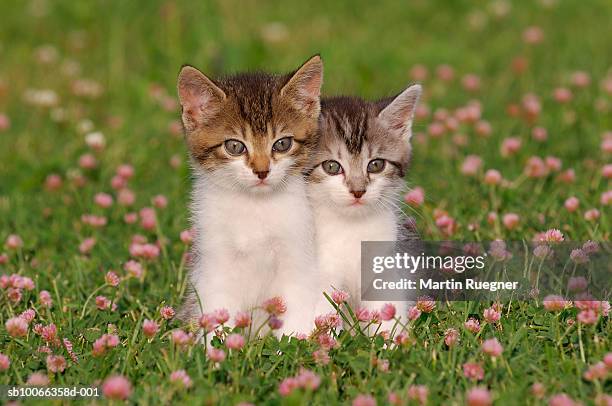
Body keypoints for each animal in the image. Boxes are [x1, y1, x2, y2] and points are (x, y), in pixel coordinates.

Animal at [177, 56, 326, 336]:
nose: (262, 171)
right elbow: (217, 309)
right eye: (235, 146)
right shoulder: (214, 263)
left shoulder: (298, 257)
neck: (254, 207)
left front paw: (294, 344)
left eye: (282, 144)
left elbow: (297, 309)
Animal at [308, 84, 424, 332]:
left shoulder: (388, 263)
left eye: (376, 164)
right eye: (331, 166)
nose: (358, 191)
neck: (352, 228)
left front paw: (394, 340)